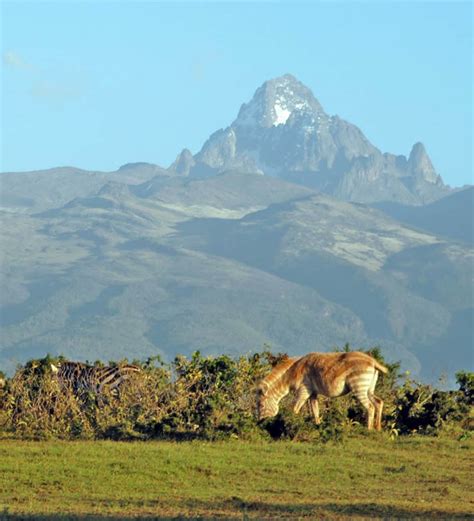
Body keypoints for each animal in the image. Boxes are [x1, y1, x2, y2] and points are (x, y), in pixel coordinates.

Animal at [258, 350, 386, 430]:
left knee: (370, 406)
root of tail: (373, 362)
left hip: (359, 387)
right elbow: (316, 412)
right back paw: (378, 429)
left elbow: (295, 409)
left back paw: (368, 429)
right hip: (368, 389)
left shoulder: (304, 391)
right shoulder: (313, 393)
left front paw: (289, 424)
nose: (259, 423)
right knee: (379, 402)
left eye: (261, 405)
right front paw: (317, 427)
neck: (293, 371)